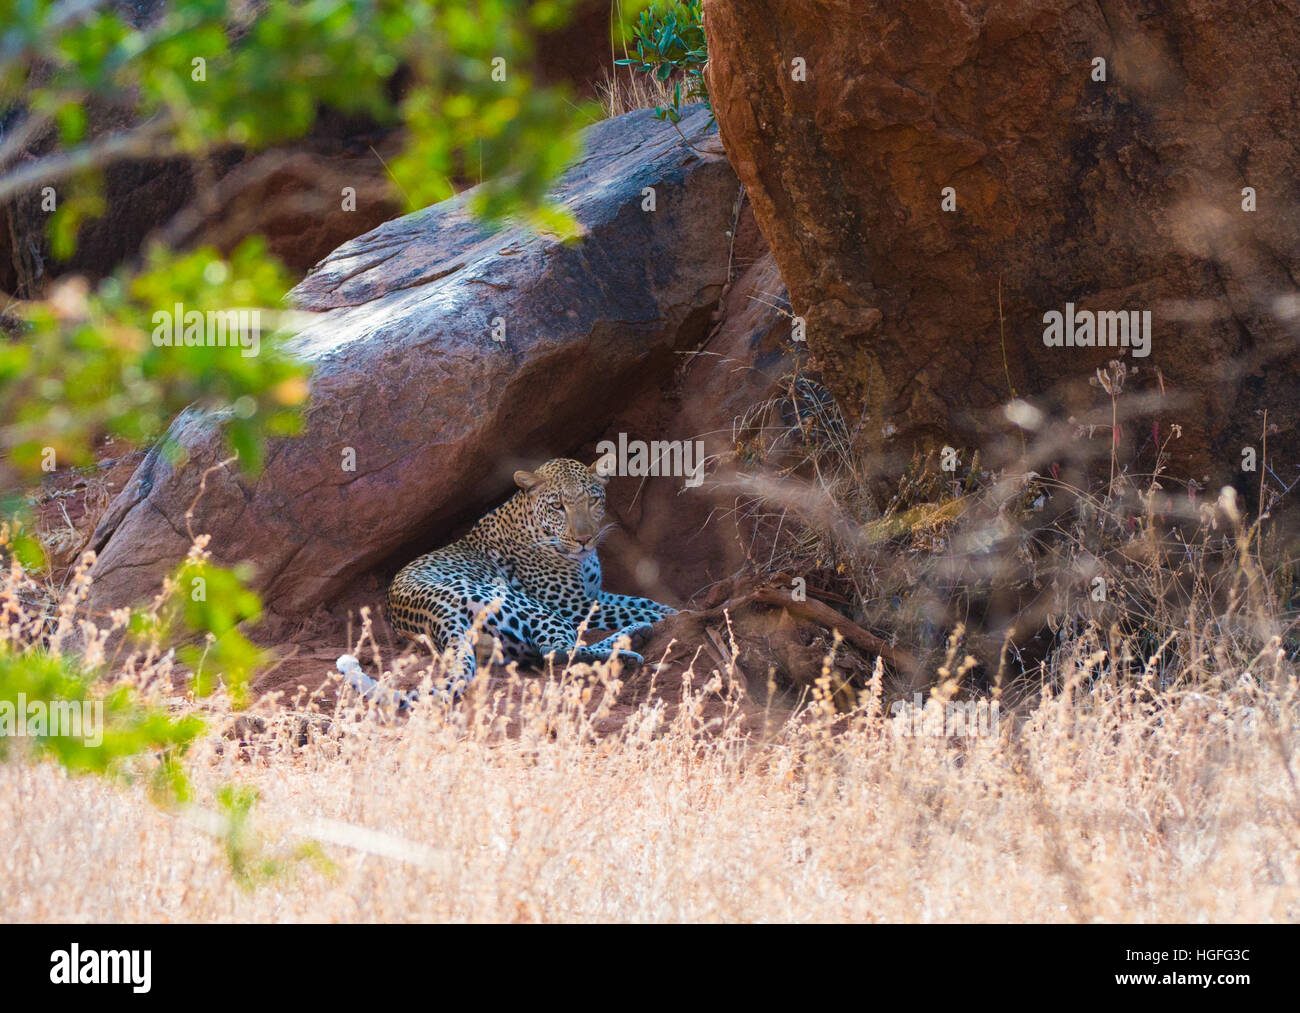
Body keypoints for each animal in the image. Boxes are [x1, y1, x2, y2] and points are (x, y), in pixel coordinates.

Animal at [338, 455, 675, 704]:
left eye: (592, 500)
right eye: (558, 506)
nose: (585, 539)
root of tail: (437, 614)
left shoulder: (594, 594)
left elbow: (640, 601)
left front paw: (667, 612)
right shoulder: (574, 606)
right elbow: (640, 608)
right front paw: (678, 614)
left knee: (546, 651)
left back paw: (636, 636)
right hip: (521, 603)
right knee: (556, 651)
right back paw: (630, 649)